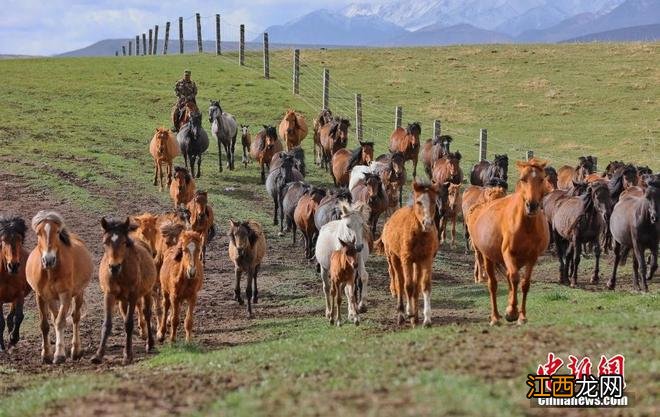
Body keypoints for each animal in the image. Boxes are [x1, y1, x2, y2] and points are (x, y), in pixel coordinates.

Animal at [26, 210, 93, 362]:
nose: (48, 260)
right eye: (38, 233)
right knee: (55, 316)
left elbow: (60, 321)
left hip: (78, 293)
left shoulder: (65, 295)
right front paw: (46, 354)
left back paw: (75, 350)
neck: (51, 272)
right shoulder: (41, 296)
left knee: (75, 317)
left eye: (57, 231)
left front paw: (60, 354)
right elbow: (45, 324)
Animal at [91, 218, 157, 364]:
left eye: (124, 243)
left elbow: (128, 323)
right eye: (105, 242)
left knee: (147, 314)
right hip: (122, 300)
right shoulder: (109, 295)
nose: (114, 267)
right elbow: (107, 324)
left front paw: (127, 355)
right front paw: (98, 355)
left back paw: (150, 344)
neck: (120, 274)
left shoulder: (133, 295)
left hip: (147, 292)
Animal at [376, 180, 438, 326]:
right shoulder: (407, 259)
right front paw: (409, 312)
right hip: (394, 259)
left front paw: (427, 319)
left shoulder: (426, 259)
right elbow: (408, 286)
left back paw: (415, 318)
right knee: (400, 283)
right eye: (419, 202)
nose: (427, 223)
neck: (419, 235)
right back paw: (402, 314)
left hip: (417, 263)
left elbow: (424, 286)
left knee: (415, 286)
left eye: (434, 202)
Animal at [470, 158, 552, 324]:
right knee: (493, 284)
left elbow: (525, 284)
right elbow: (514, 279)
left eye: (541, 179)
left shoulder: (532, 257)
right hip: (488, 257)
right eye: (523, 179)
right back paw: (495, 317)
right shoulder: (509, 253)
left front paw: (521, 316)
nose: (532, 205)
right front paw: (512, 312)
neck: (526, 226)